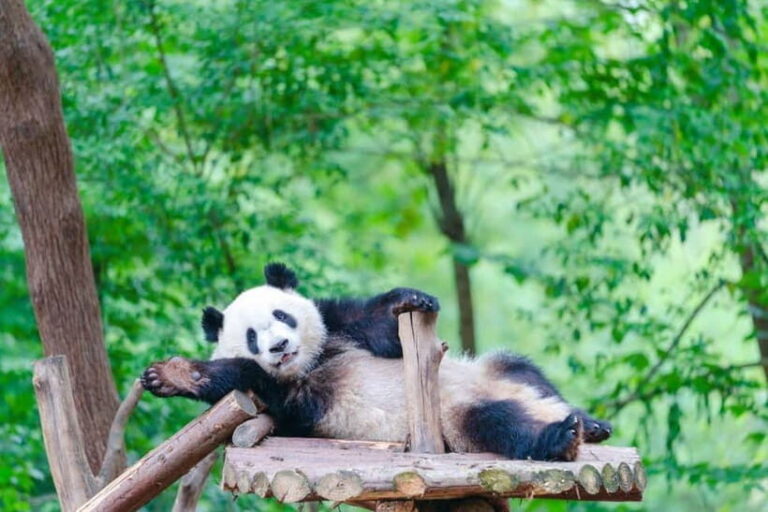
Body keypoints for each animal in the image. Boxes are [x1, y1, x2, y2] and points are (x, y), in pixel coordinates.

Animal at [141, 263, 611, 461]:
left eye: (282, 316)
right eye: (252, 337)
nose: (280, 346)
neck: (312, 361)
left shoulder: (338, 325)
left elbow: (380, 328)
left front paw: (412, 299)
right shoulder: (293, 400)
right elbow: (247, 377)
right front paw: (169, 375)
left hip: (494, 371)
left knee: (524, 371)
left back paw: (589, 423)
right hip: (455, 419)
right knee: (498, 424)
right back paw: (560, 436)